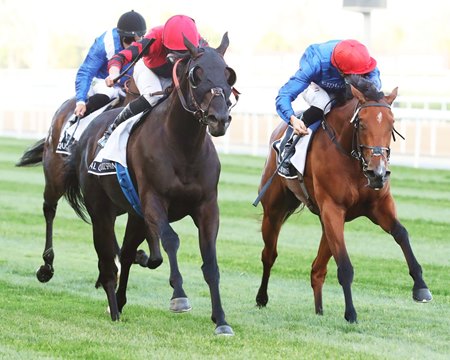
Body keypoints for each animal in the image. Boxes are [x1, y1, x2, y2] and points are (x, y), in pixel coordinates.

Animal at [64, 33, 239, 334]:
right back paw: (113, 309)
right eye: (196, 75)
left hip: (135, 215)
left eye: (229, 75)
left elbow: (210, 262)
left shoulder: (207, 207)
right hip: (101, 211)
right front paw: (179, 296)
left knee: (125, 254)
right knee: (107, 262)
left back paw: (123, 295)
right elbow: (170, 239)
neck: (183, 147)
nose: (219, 119)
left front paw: (221, 320)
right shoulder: (154, 201)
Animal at [255, 76, 430, 324]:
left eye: (391, 123)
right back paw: (261, 298)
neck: (354, 159)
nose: (378, 172)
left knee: (317, 269)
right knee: (269, 254)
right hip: (274, 211)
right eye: (362, 123)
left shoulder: (379, 206)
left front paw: (421, 287)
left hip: (324, 223)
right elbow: (345, 266)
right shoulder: (333, 209)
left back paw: (319, 310)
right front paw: (351, 313)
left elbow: (401, 233)